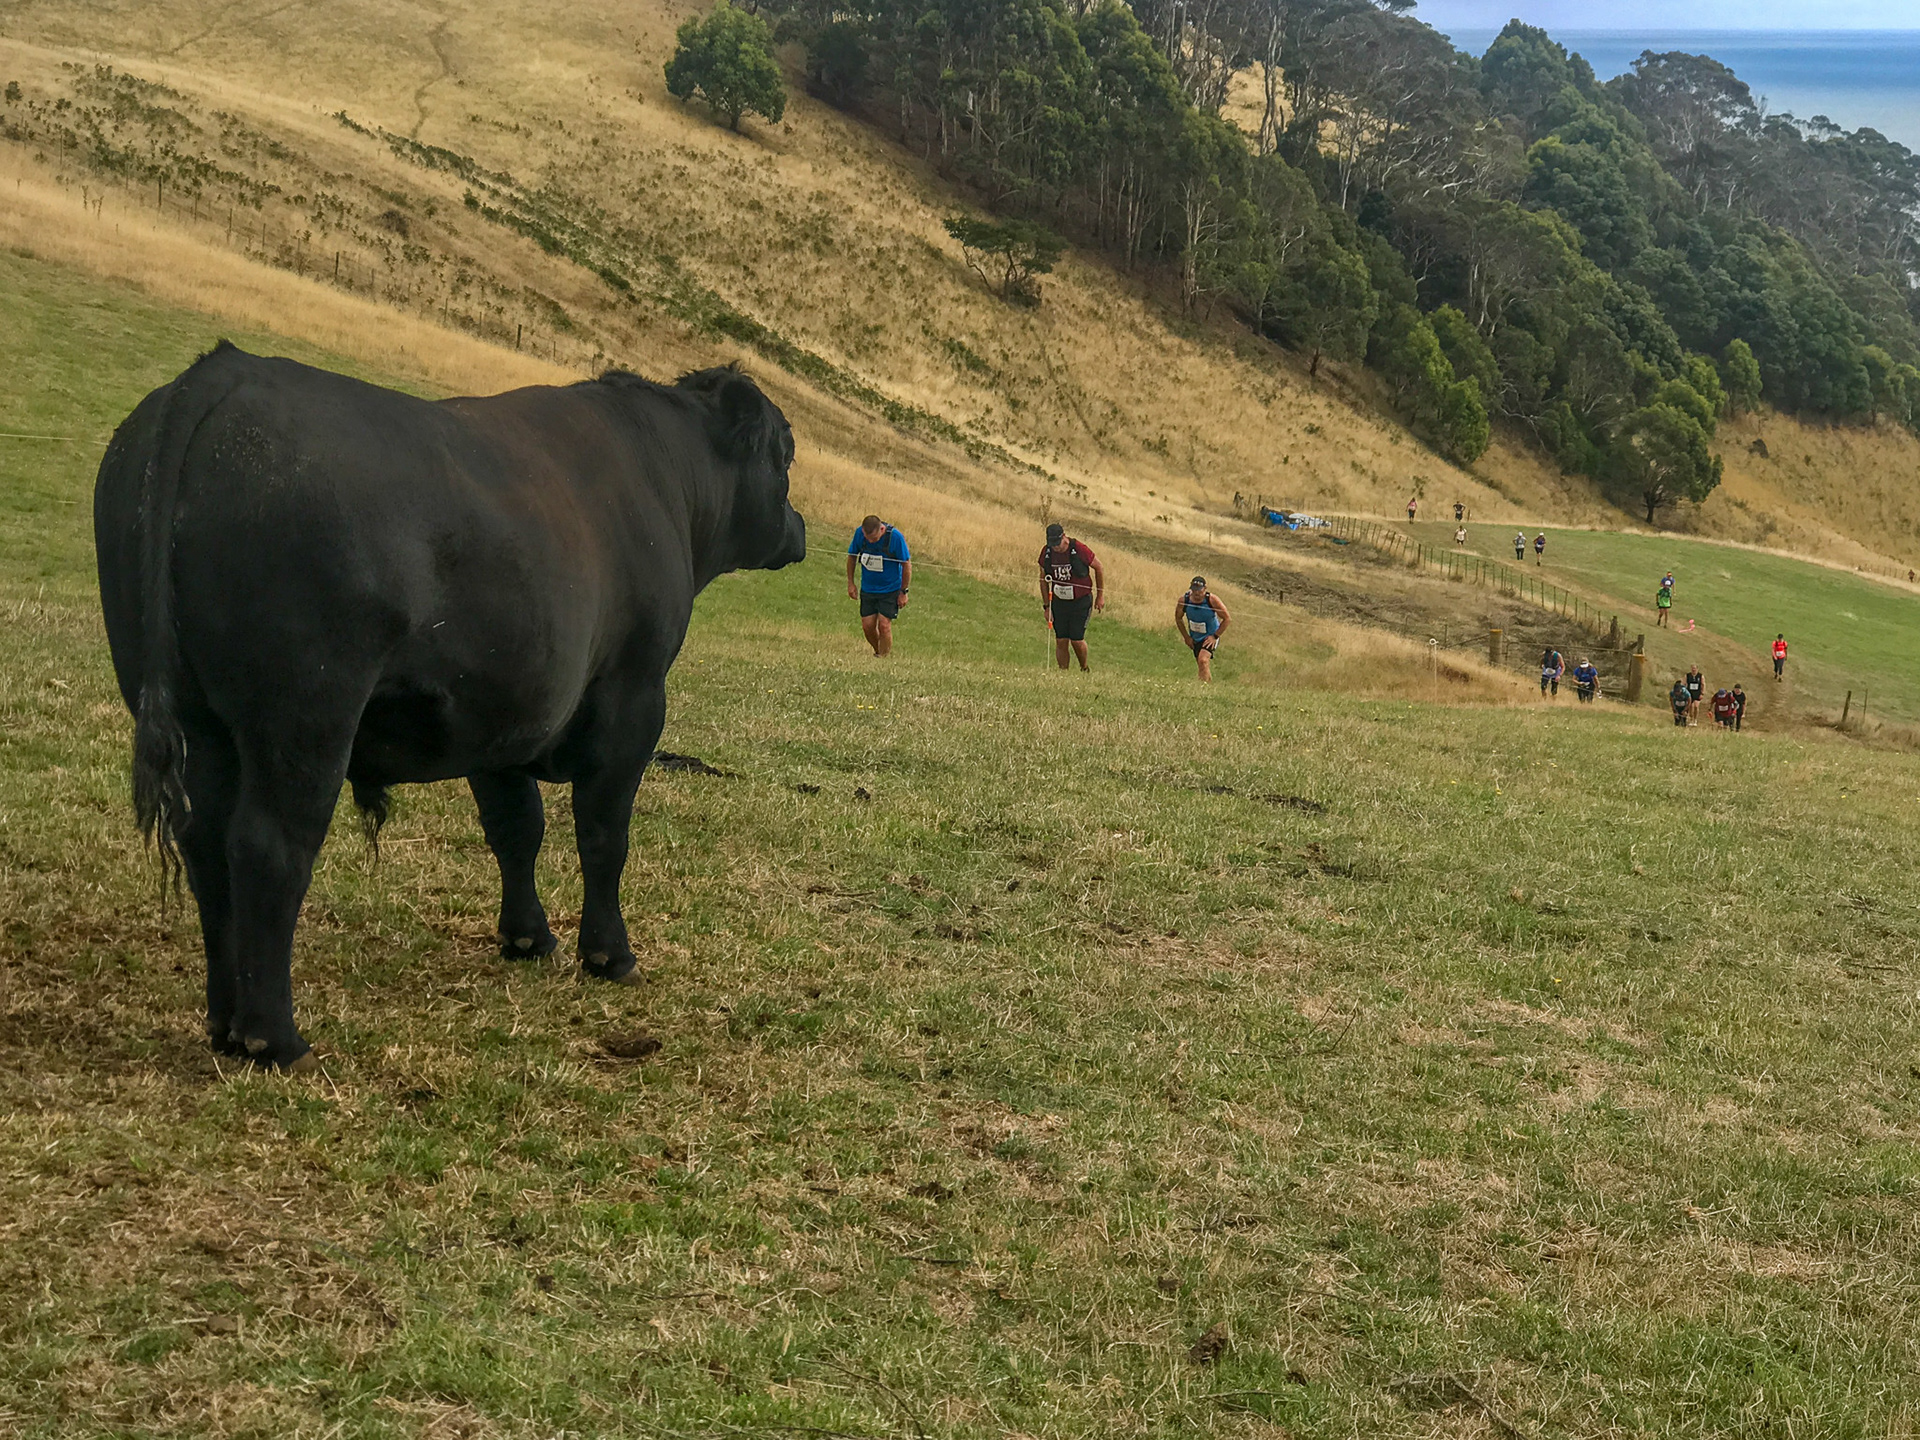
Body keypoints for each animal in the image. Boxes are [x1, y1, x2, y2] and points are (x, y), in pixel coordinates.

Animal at [95, 343, 807, 1072]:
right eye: (786, 455)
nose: (798, 528)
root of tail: (225, 371)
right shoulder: (634, 696)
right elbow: (604, 834)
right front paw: (610, 955)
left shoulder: (503, 713)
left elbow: (517, 828)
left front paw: (526, 939)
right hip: (305, 715)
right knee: (268, 848)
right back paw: (275, 1039)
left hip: (195, 718)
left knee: (205, 843)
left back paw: (224, 1024)